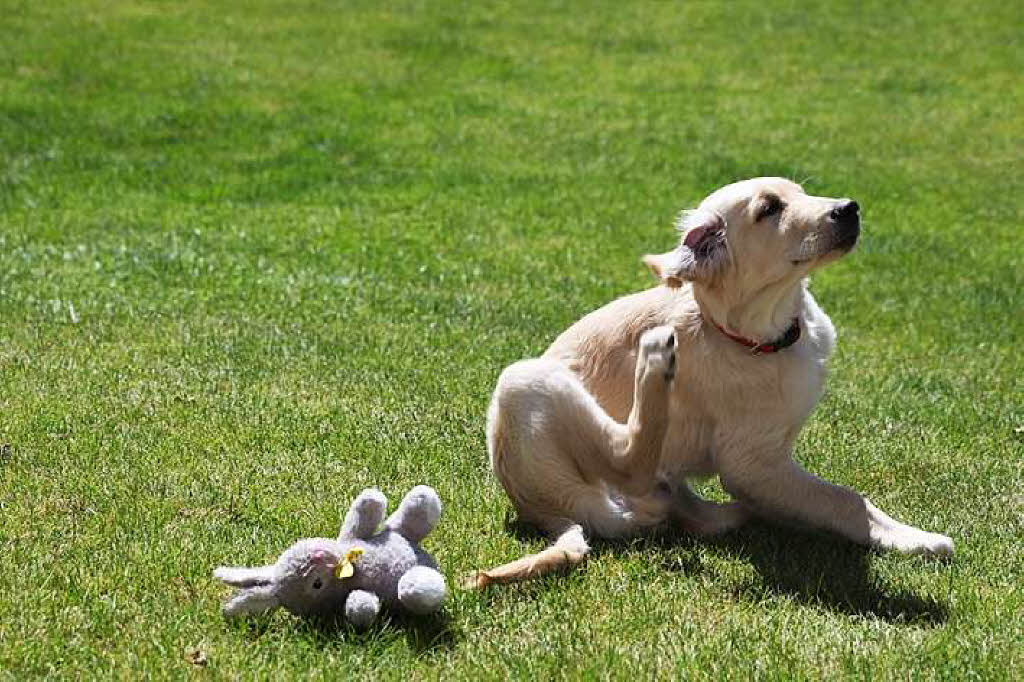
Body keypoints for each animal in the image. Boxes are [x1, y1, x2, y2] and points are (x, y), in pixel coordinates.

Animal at [468, 178, 954, 585]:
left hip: (666, 490)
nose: (849, 209)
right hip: (523, 381)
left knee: (692, 514)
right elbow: (845, 499)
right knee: (628, 460)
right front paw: (919, 539)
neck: (760, 336)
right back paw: (655, 359)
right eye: (769, 209)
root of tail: (546, 512)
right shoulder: (752, 463)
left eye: (801, 192)